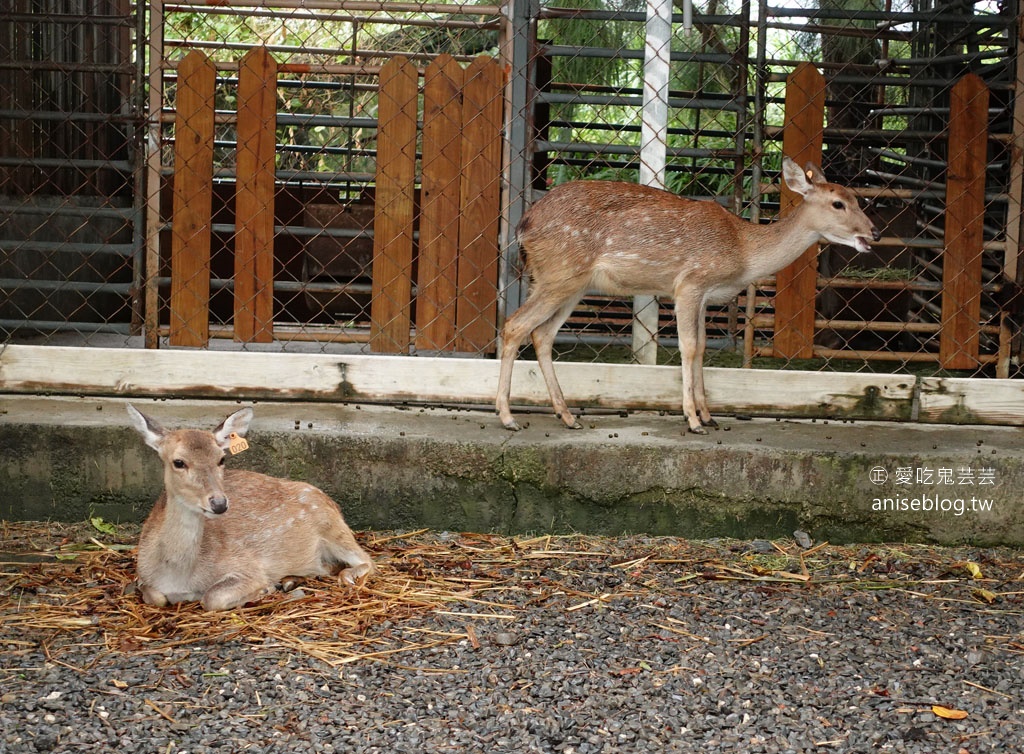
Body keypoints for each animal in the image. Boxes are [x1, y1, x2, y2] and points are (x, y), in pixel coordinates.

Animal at [127, 403, 374, 610]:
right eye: (178, 462)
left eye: (221, 459)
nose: (219, 503)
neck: (178, 576)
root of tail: (332, 502)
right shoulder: (143, 577)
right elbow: (155, 597)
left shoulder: (247, 566)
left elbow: (212, 598)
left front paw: (265, 588)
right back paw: (290, 580)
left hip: (332, 526)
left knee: (367, 560)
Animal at [495, 155, 880, 432]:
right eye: (838, 204)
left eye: (857, 198)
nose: (873, 233)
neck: (743, 249)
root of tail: (523, 226)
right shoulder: (689, 283)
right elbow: (689, 347)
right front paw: (693, 420)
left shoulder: (706, 295)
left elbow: (703, 349)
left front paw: (709, 415)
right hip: (558, 274)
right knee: (515, 325)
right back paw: (509, 417)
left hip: (572, 284)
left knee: (542, 334)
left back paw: (568, 416)